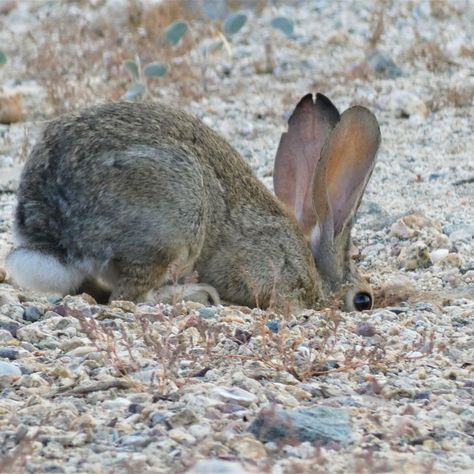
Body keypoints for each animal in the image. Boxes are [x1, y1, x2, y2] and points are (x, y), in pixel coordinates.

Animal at [4, 93, 382, 312]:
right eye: (363, 300)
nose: (369, 303)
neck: (311, 264)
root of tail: (53, 232)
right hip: (174, 226)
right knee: (128, 297)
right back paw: (198, 296)